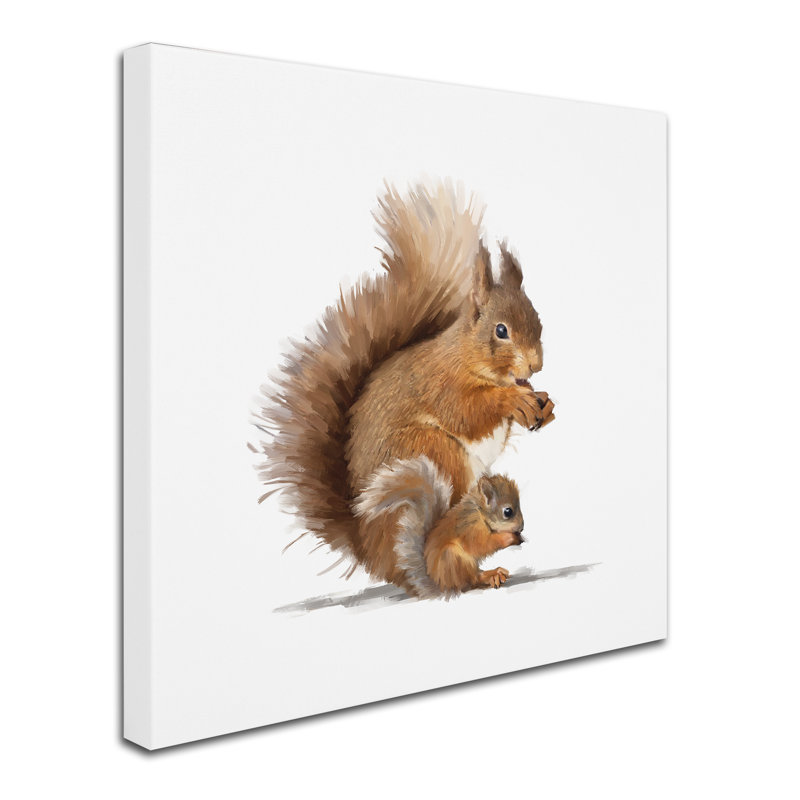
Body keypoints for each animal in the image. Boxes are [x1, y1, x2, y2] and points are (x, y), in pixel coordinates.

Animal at [255, 181, 554, 597]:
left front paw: (544, 402)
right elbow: (468, 412)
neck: (467, 355)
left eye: (537, 319)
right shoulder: (442, 384)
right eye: (501, 330)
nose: (536, 364)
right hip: (435, 452)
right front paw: (514, 400)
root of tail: (372, 554)